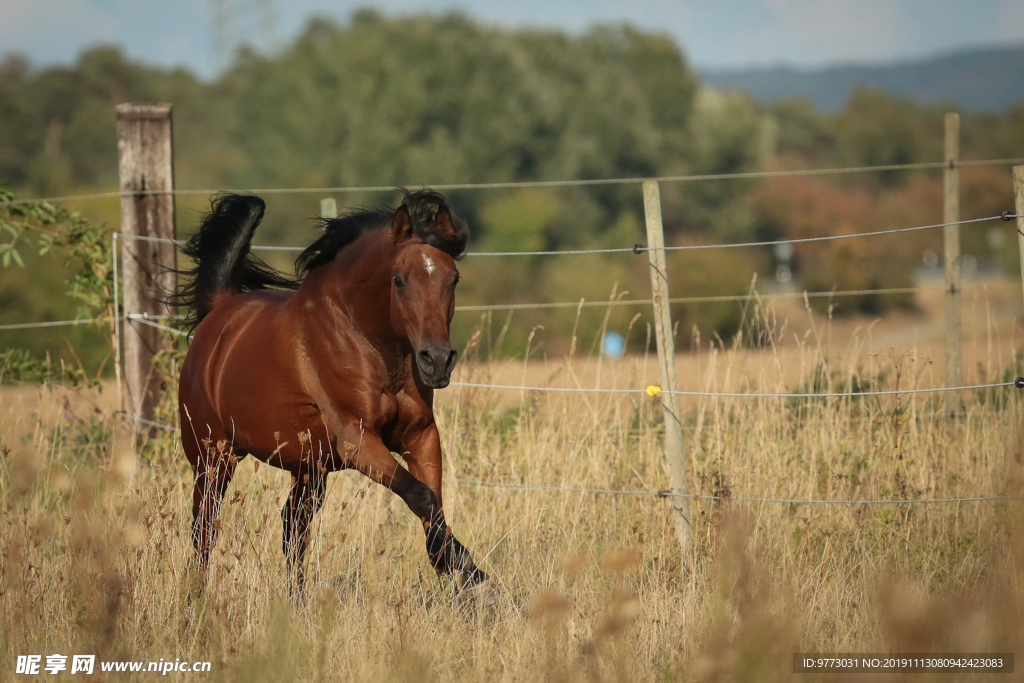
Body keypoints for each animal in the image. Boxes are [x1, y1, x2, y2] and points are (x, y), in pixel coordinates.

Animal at [175, 189, 493, 601]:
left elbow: (433, 502)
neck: (367, 341)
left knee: (292, 528)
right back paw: (195, 600)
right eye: (399, 280)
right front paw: (469, 569)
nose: (437, 361)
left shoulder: (420, 434)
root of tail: (220, 310)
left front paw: (458, 568)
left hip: (308, 468)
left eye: (453, 278)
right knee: (205, 528)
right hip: (213, 456)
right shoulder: (359, 442)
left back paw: (295, 602)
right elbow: (421, 496)